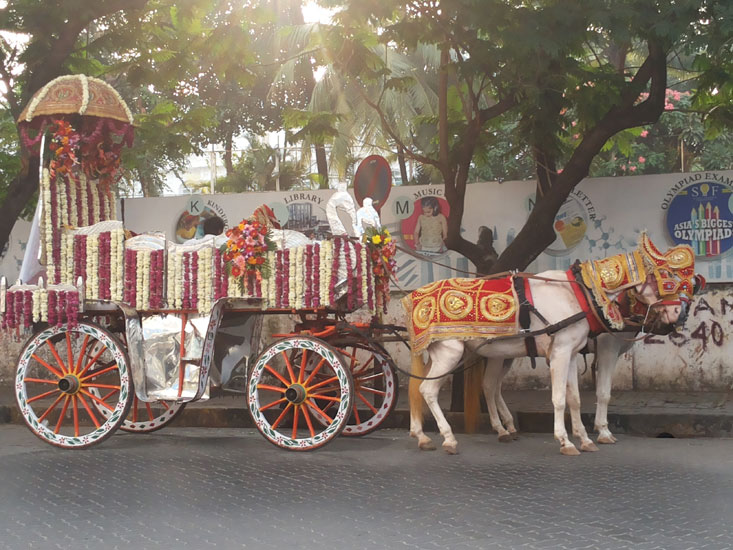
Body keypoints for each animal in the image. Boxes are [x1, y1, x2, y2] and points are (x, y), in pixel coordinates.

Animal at [408, 270, 688, 458]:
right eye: (665, 283)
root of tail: (414, 299)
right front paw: (573, 439)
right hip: (451, 353)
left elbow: (575, 398)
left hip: (479, 354)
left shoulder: (572, 353)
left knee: (476, 387)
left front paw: (585, 438)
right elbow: (580, 396)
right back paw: (449, 438)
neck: (585, 297)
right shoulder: (588, 351)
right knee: (428, 390)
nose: (680, 314)